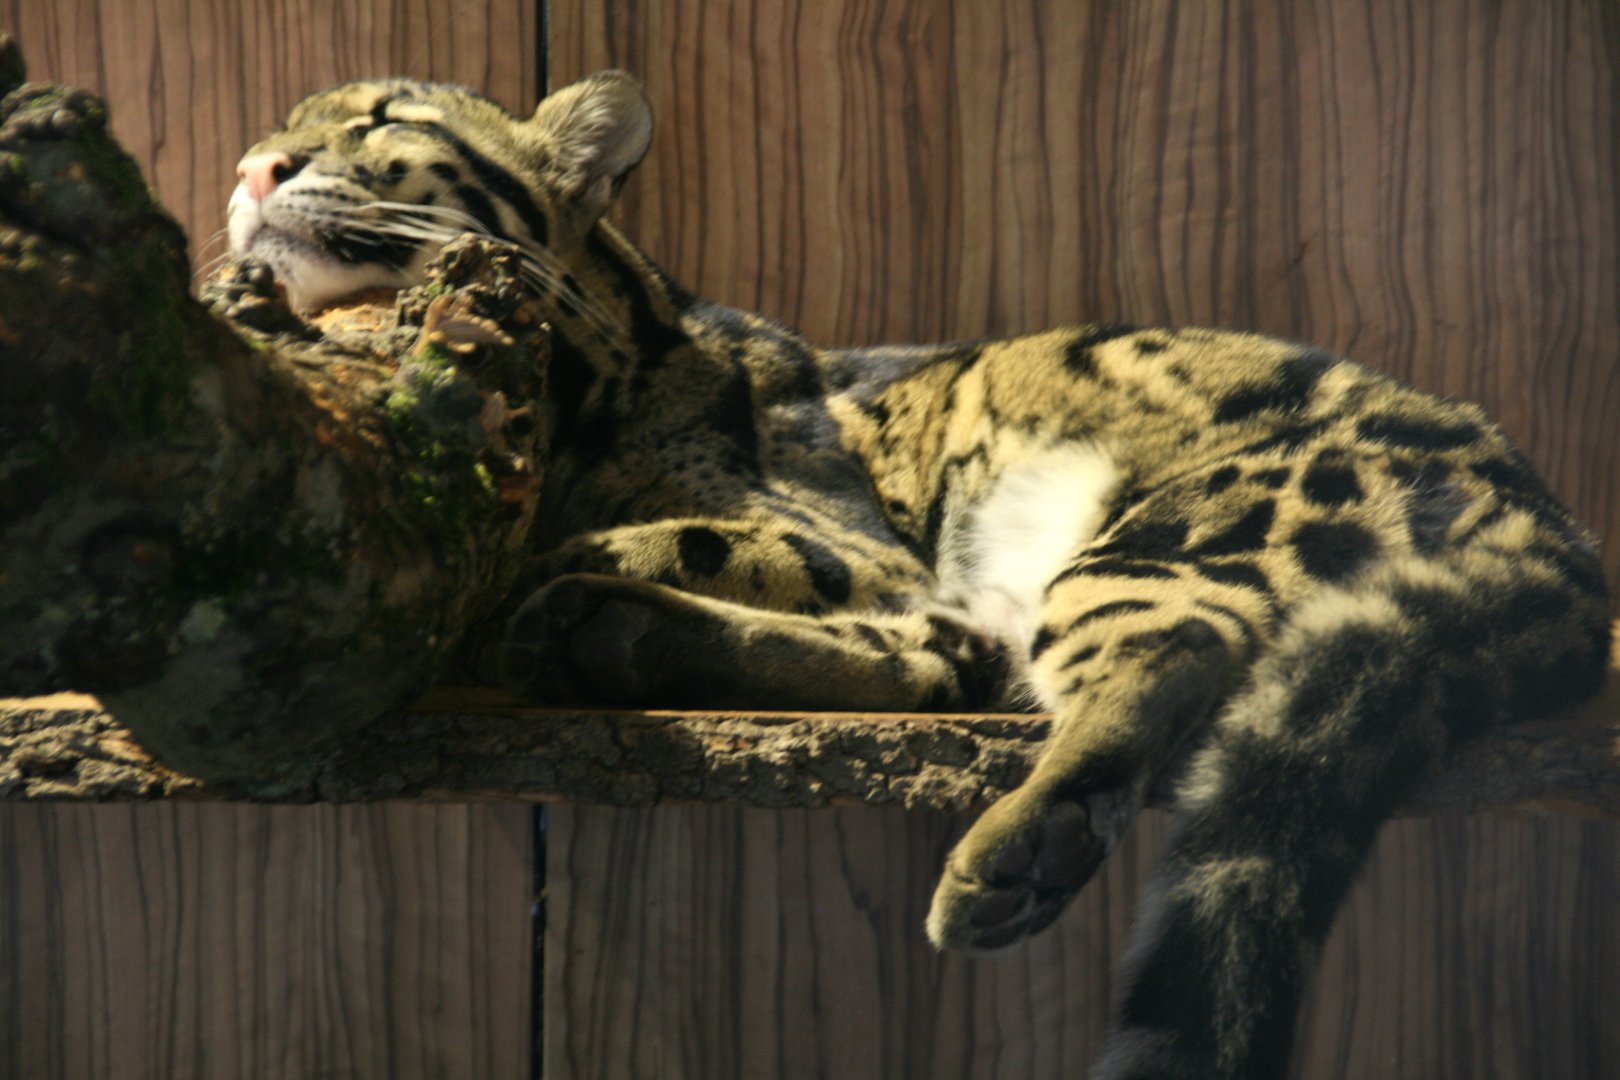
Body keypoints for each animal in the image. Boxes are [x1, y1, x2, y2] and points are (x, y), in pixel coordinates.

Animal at [227, 70, 1611, 1079]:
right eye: (276, 130)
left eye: (380, 122)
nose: (249, 170)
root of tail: (1558, 536)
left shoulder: (850, 541)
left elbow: (704, 538)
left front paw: (565, 563)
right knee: (958, 662)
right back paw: (608, 634)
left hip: (1166, 530)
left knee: (1165, 647)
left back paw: (1016, 841)